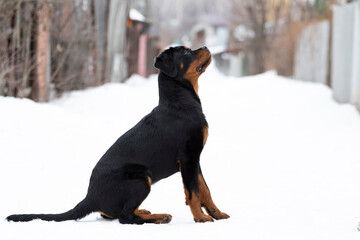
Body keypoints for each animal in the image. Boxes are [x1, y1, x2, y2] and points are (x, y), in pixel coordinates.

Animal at [5, 46, 229, 224]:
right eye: (186, 52)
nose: (205, 47)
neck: (179, 102)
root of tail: (90, 197)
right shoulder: (188, 157)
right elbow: (193, 193)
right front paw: (200, 218)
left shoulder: (194, 159)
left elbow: (204, 190)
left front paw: (217, 214)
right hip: (141, 178)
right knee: (125, 217)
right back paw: (158, 217)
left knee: (114, 213)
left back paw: (147, 212)